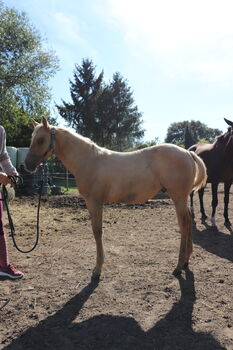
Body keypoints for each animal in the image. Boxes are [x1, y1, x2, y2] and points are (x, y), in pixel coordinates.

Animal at [24, 117, 206, 276]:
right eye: (32, 138)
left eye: (41, 139)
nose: (27, 165)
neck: (89, 160)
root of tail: (187, 153)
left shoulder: (94, 202)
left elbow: (97, 231)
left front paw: (97, 269)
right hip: (181, 198)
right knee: (188, 220)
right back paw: (186, 261)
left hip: (178, 197)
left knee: (184, 223)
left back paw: (179, 266)